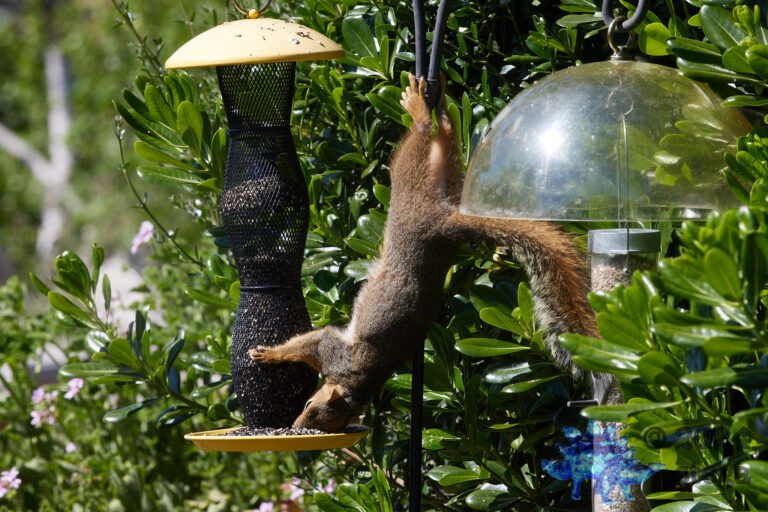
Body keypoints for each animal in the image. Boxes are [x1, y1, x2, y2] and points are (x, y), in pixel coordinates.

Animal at [250, 75, 604, 432]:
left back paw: (419, 108)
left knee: (420, 136)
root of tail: (444, 221)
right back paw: (442, 110)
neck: (359, 384)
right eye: (309, 406)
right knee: (444, 139)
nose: (295, 426)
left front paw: (270, 355)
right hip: (438, 173)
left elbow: (309, 343)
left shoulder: (333, 352)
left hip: (410, 179)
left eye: (315, 413)